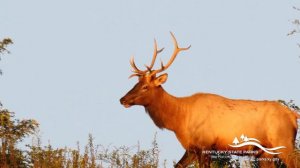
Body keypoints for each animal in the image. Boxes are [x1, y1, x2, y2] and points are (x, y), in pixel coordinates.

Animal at [119, 32, 298, 167]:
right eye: (136, 83)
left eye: (145, 87)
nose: (122, 99)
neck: (180, 120)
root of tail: (294, 116)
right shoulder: (191, 148)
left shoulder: (205, 144)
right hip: (263, 152)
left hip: (284, 143)